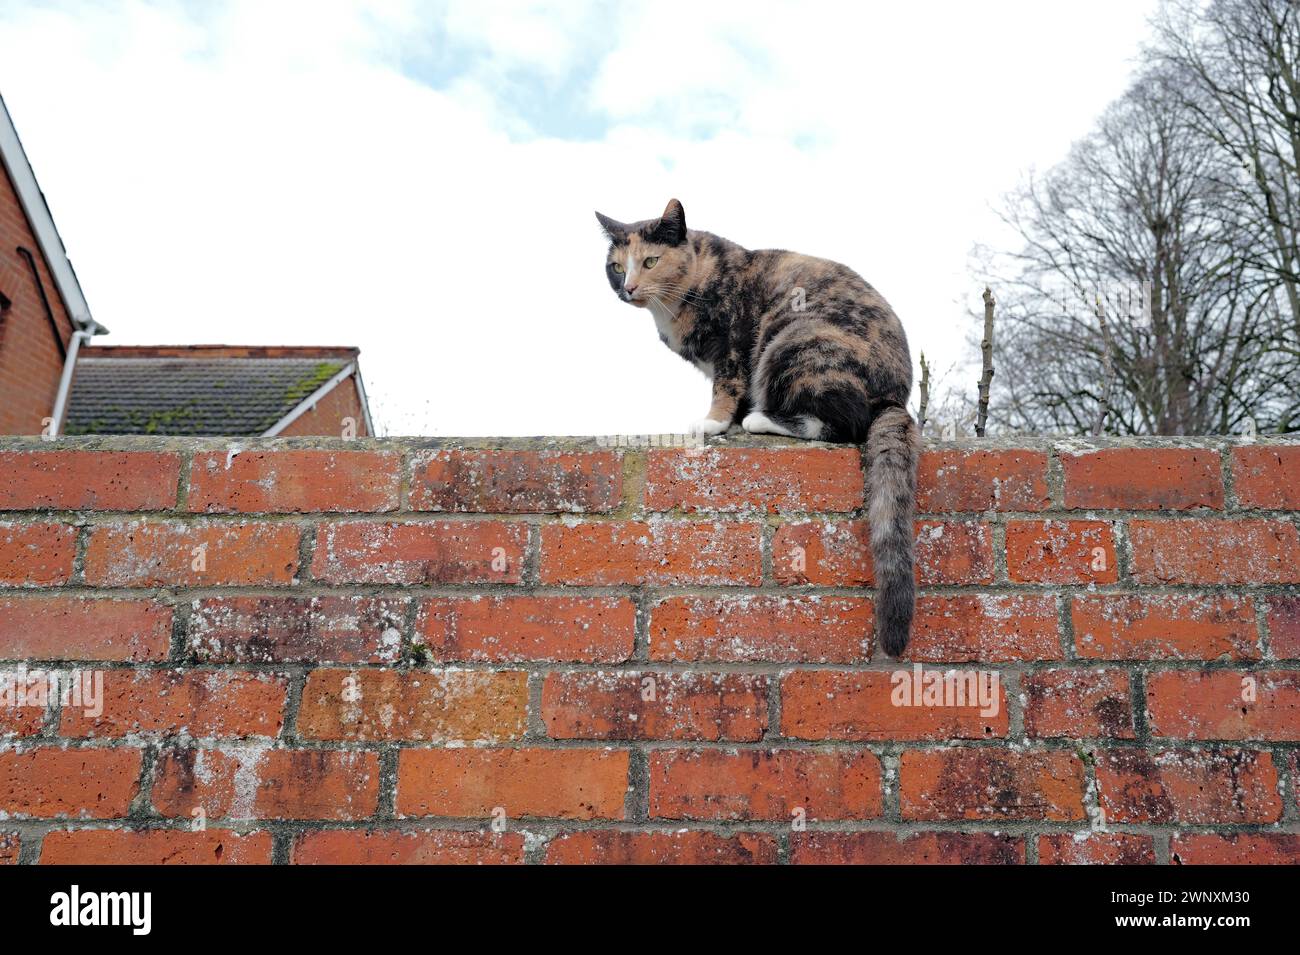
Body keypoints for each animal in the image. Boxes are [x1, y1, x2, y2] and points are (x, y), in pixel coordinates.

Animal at [595, 197, 920, 654]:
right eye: (616, 266)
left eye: (650, 261)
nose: (628, 287)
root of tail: (896, 396)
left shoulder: (733, 342)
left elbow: (727, 385)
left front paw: (712, 423)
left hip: (793, 341)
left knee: (844, 423)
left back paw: (761, 419)